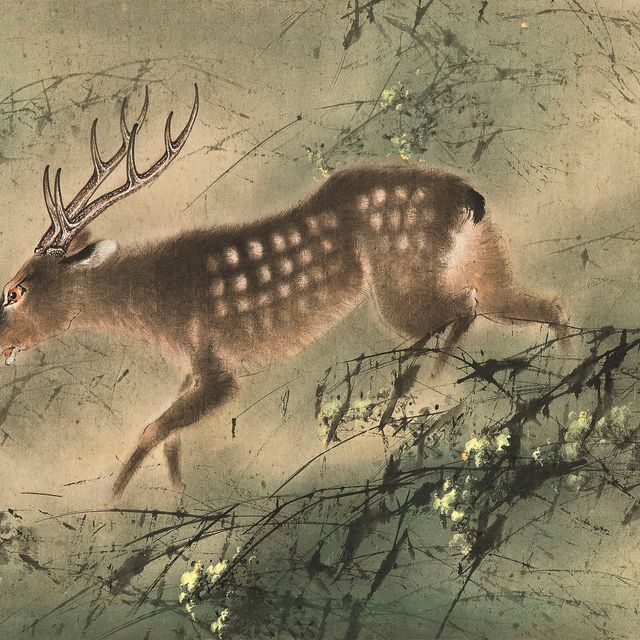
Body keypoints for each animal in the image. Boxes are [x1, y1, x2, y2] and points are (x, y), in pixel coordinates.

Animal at [0, 85, 569, 500]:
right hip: (485, 257)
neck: (157, 300)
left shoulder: (217, 366)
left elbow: (151, 430)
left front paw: (114, 501)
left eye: (15, 290)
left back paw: (414, 393)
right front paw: (178, 498)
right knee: (541, 301)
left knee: (461, 307)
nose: (3, 343)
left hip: (401, 282)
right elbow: (170, 439)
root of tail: (472, 198)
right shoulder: (193, 365)